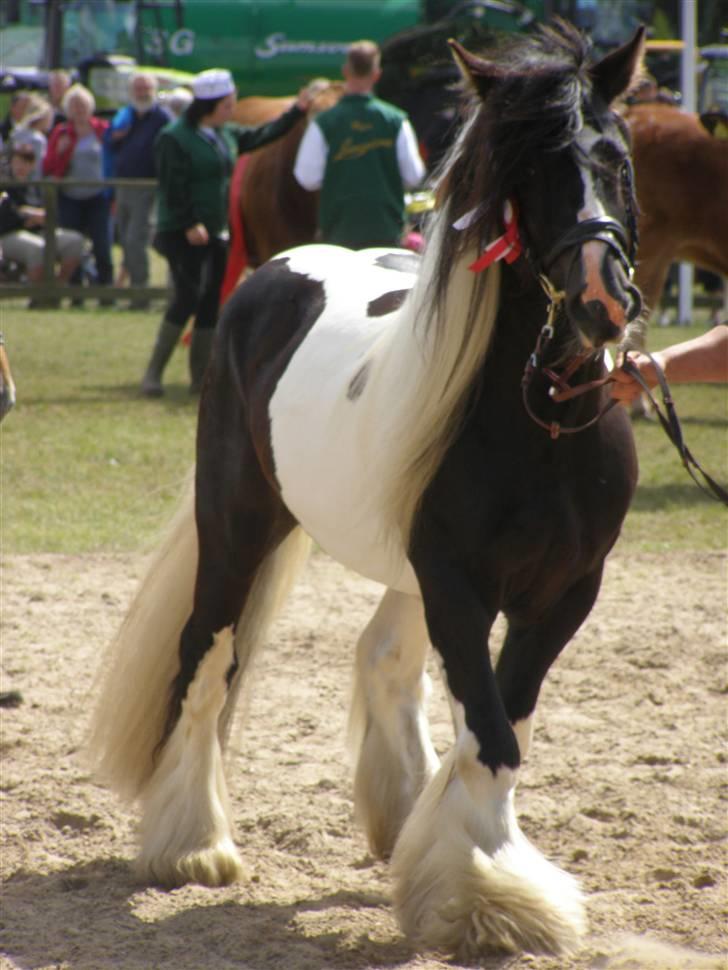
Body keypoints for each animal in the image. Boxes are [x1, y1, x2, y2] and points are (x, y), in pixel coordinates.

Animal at [89, 20, 644, 952]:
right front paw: (487, 896)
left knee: (384, 657)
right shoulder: (458, 584)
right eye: (527, 172)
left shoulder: (565, 591)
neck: (540, 422)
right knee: (207, 655)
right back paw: (193, 844)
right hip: (237, 527)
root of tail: (277, 270)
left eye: (617, 156)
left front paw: (456, 858)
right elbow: (491, 734)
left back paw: (399, 819)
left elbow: (505, 719)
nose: (603, 298)